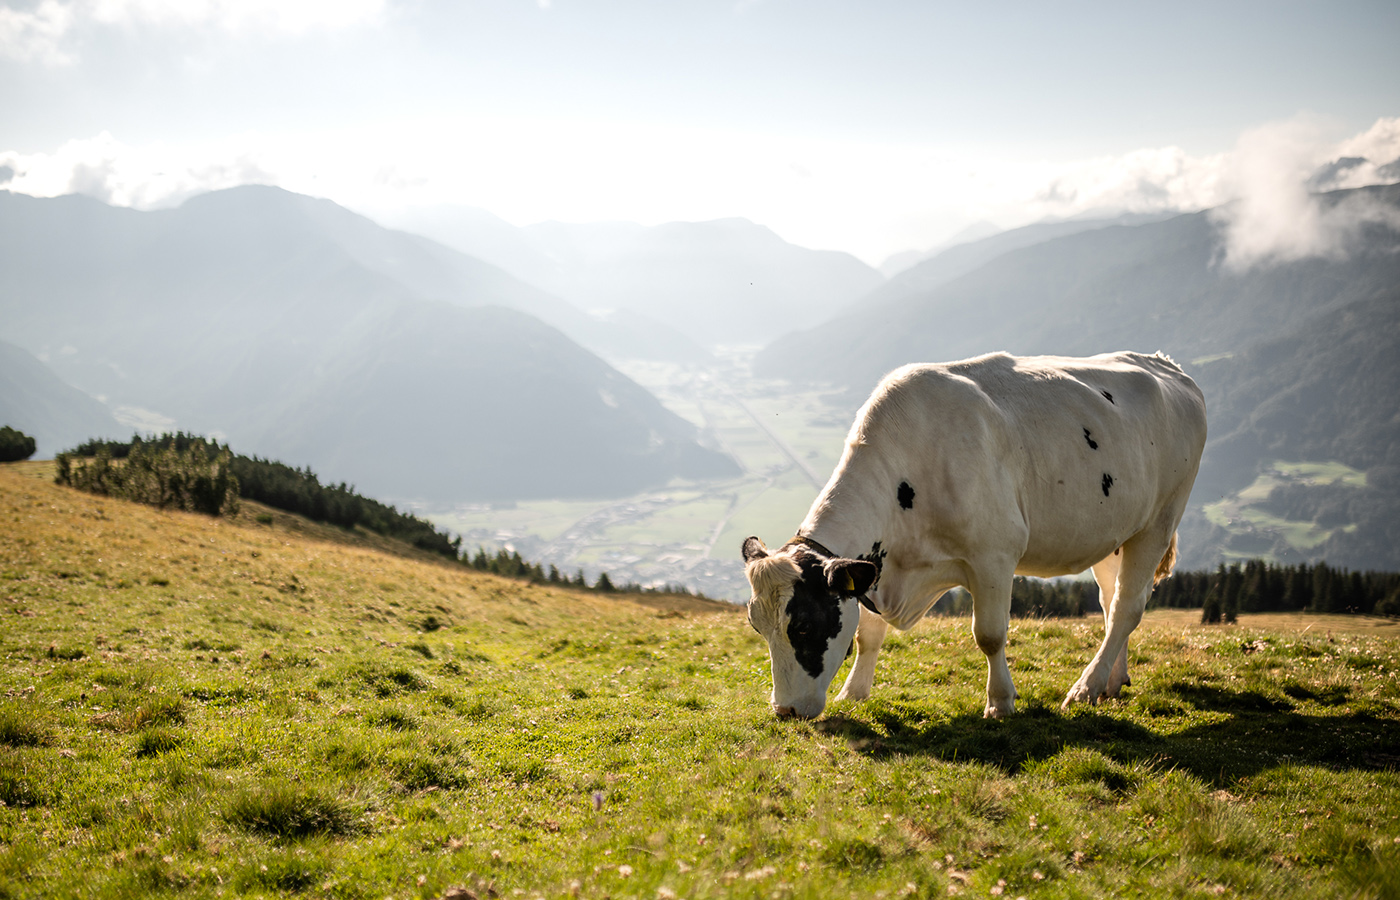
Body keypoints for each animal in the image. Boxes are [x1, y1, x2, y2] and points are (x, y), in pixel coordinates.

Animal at [739, 348, 1209, 722]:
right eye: (757, 627)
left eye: (802, 626)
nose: (784, 710)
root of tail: (1165, 365)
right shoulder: (874, 567)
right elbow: (867, 633)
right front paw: (853, 693)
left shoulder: (994, 556)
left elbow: (989, 635)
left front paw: (1000, 702)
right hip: (1116, 533)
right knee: (1113, 603)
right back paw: (1112, 681)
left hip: (1160, 520)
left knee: (1128, 607)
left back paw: (1085, 688)